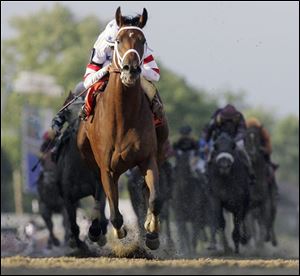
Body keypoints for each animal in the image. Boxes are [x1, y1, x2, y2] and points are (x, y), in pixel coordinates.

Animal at [77, 6, 169, 249]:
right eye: (118, 41)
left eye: (142, 40)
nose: (131, 70)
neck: (123, 117)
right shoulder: (107, 168)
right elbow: (115, 214)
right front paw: (119, 233)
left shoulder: (148, 159)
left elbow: (155, 198)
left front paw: (152, 233)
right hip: (91, 159)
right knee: (100, 194)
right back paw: (95, 230)